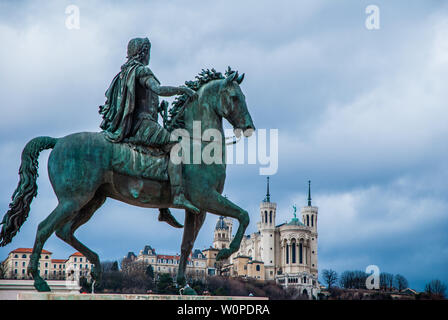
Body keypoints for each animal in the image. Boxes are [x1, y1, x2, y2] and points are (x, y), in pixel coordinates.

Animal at [0, 71, 256, 292]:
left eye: (244, 97)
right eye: (235, 97)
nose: (249, 128)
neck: (199, 143)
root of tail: (58, 140)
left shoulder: (197, 208)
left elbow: (187, 246)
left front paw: (185, 285)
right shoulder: (206, 198)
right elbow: (243, 215)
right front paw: (225, 253)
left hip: (92, 200)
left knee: (64, 231)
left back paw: (96, 269)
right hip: (73, 199)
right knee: (45, 227)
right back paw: (39, 280)